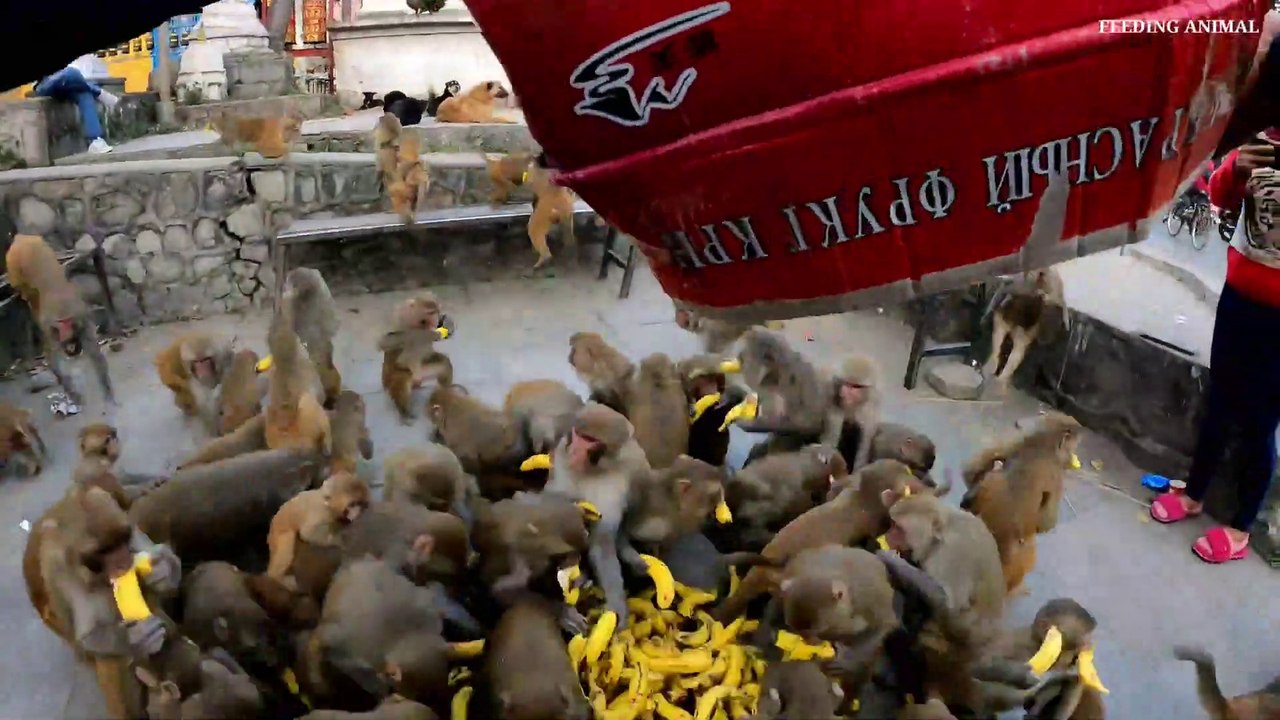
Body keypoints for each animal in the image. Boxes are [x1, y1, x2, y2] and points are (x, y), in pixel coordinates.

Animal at [5, 234, 115, 405]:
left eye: (67, 324)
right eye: (62, 325)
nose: (64, 334)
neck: (64, 312)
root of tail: (22, 238)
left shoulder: (82, 318)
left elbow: (93, 352)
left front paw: (107, 390)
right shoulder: (51, 329)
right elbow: (52, 358)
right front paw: (73, 394)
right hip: (13, 264)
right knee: (25, 292)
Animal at [23, 484, 183, 718]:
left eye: (121, 540)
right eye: (103, 551)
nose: (123, 561)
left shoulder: (127, 525)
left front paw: (164, 569)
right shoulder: (58, 568)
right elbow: (87, 636)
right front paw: (136, 638)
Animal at [381, 293, 451, 422]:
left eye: (436, 311)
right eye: (430, 312)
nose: (435, 319)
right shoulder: (402, 318)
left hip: (425, 369)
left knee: (444, 364)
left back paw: (447, 392)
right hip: (397, 374)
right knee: (401, 380)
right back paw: (404, 412)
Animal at [541, 403, 652, 625]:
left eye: (590, 440)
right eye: (579, 435)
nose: (574, 451)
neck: (595, 469)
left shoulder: (632, 466)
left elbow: (602, 540)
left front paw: (617, 606)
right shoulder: (562, 461)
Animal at [960, 412, 1082, 594]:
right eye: (1072, 435)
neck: (1043, 443)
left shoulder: (1016, 442)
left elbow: (969, 471)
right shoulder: (1056, 475)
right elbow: (1046, 523)